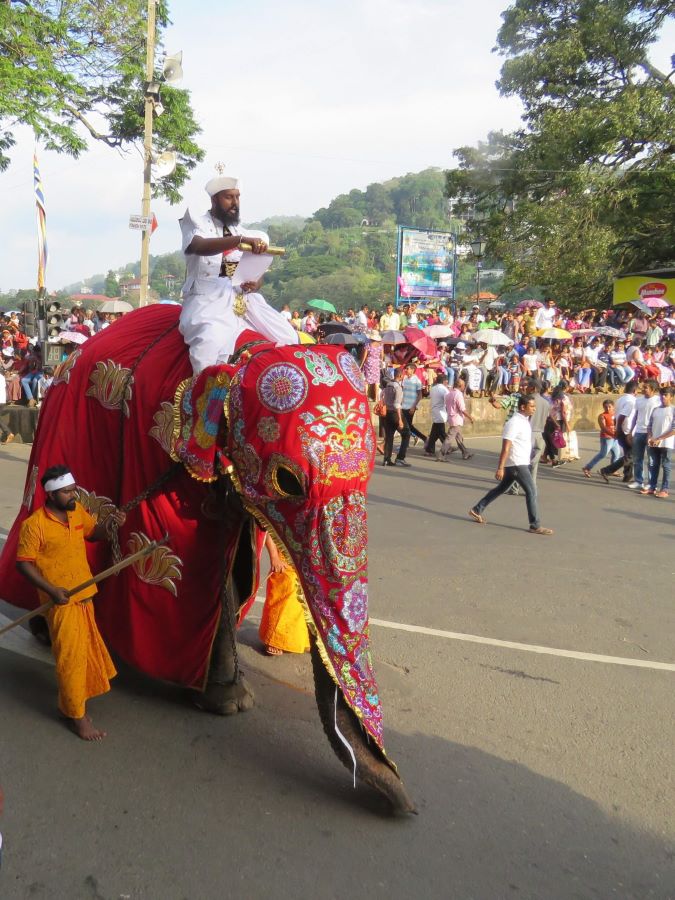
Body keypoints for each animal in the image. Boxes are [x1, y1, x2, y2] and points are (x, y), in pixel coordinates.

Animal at [0, 308, 414, 816]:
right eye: (287, 481)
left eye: (372, 470)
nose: (404, 803)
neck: (244, 355)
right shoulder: (167, 463)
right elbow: (195, 570)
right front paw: (227, 701)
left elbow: (232, 568)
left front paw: (227, 691)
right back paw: (45, 629)